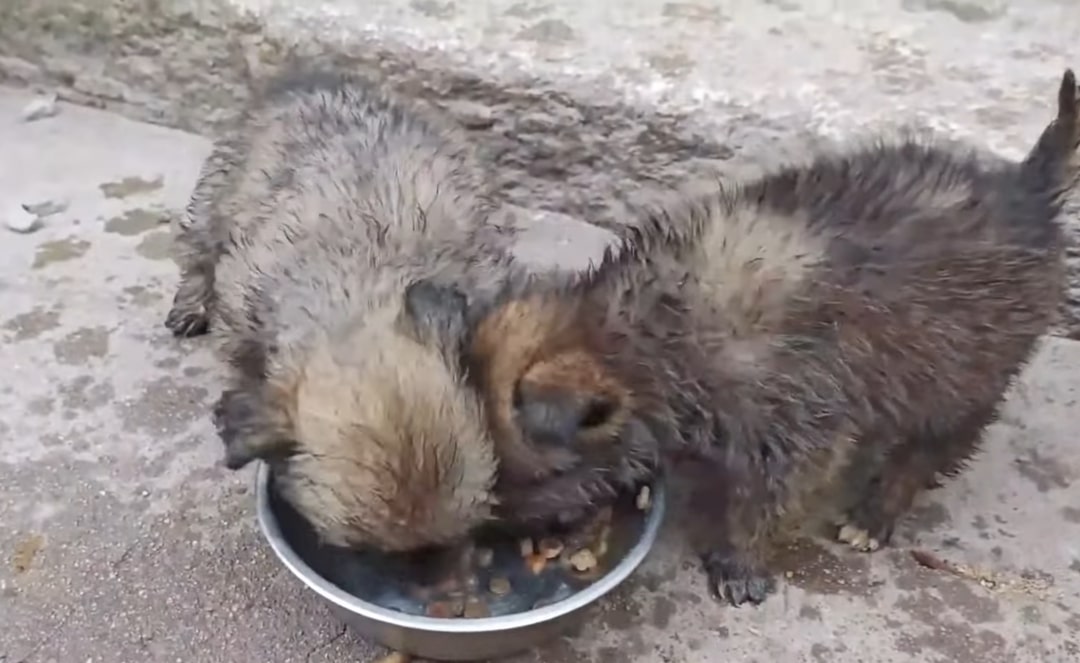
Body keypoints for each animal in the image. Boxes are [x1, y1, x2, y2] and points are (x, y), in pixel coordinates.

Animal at [466, 70, 1080, 604]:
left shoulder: (795, 425)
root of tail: (1027, 189)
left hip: (965, 374)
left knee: (936, 446)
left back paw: (875, 513)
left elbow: (766, 501)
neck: (641, 330)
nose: (462, 547)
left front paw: (739, 561)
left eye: (517, 484)